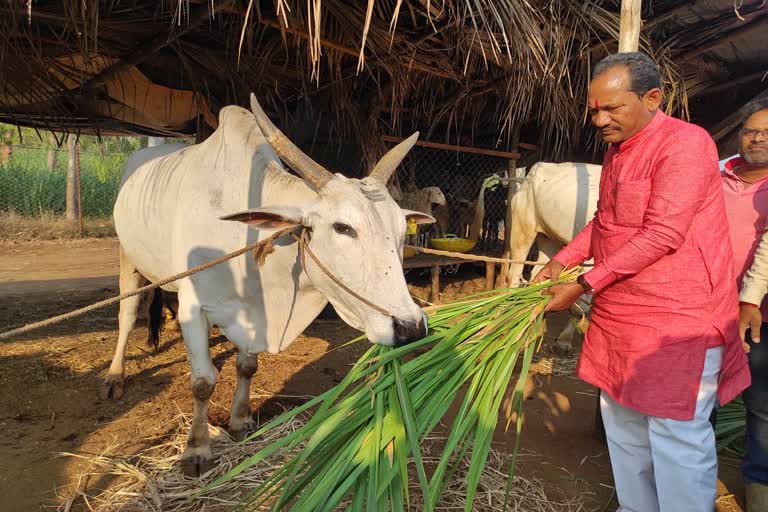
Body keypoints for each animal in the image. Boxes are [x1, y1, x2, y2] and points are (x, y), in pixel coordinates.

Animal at [109, 95, 436, 476]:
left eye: (401, 230)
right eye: (343, 227)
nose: (410, 327)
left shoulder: (255, 314)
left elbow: (246, 366)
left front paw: (240, 421)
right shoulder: (195, 305)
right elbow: (203, 382)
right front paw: (197, 450)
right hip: (127, 254)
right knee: (127, 313)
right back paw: (115, 376)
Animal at [508, 162, 604, 354]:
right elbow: (581, 305)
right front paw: (564, 341)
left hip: (548, 238)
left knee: (538, 275)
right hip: (522, 229)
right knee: (513, 276)